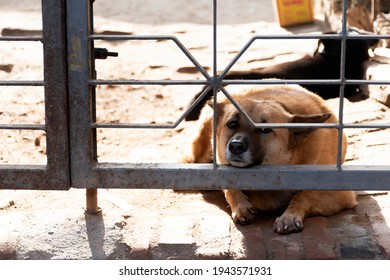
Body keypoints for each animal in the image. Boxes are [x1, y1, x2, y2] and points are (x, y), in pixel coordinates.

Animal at [184, 85, 358, 234]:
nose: (235, 146)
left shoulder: (340, 193)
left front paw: (289, 217)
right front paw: (241, 206)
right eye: (232, 124)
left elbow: (303, 195)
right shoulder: (221, 165)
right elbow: (229, 186)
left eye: (265, 130)